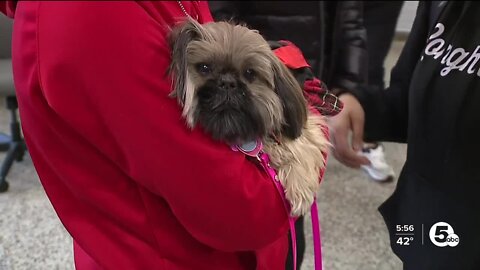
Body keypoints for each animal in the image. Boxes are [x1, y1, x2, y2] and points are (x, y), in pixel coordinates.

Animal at [167, 18, 328, 215]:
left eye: (250, 73)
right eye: (204, 68)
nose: (227, 82)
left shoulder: (310, 124)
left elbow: (300, 145)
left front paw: (300, 187)